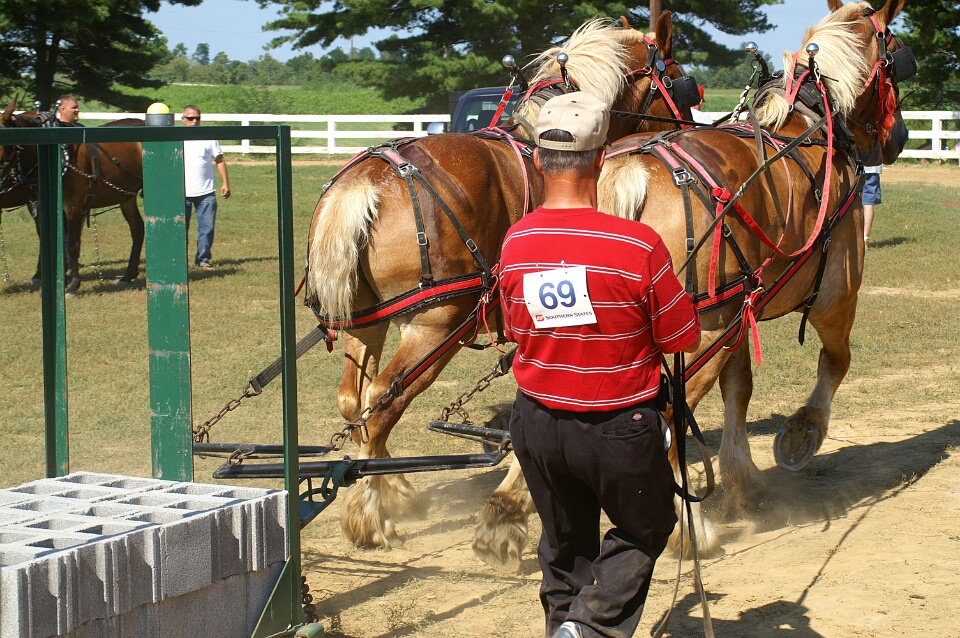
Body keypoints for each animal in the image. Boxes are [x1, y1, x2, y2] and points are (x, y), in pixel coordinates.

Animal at [0, 99, 145, 295]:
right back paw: (128, 275)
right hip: (126, 196)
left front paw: (73, 285)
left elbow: (71, 243)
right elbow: (56, 241)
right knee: (137, 228)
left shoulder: (73, 206)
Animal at [303, 14, 698, 553]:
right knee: (382, 400)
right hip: (437, 325)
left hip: (367, 320)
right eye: (678, 80)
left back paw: (392, 486)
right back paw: (370, 513)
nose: (688, 133)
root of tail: (364, 181)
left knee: (354, 401)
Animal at [476, 0, 914, 566]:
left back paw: (507, 507)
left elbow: (740, 388)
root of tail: (626, 170)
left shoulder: (742, 305)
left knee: (549, 404)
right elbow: (836, 362)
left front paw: (744, 480)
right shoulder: (835, 294)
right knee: (666, 418)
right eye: (896, 62)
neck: (813, 123)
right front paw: (802, 433)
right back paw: (690, 529)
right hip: (704, 332)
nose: (898, 138)